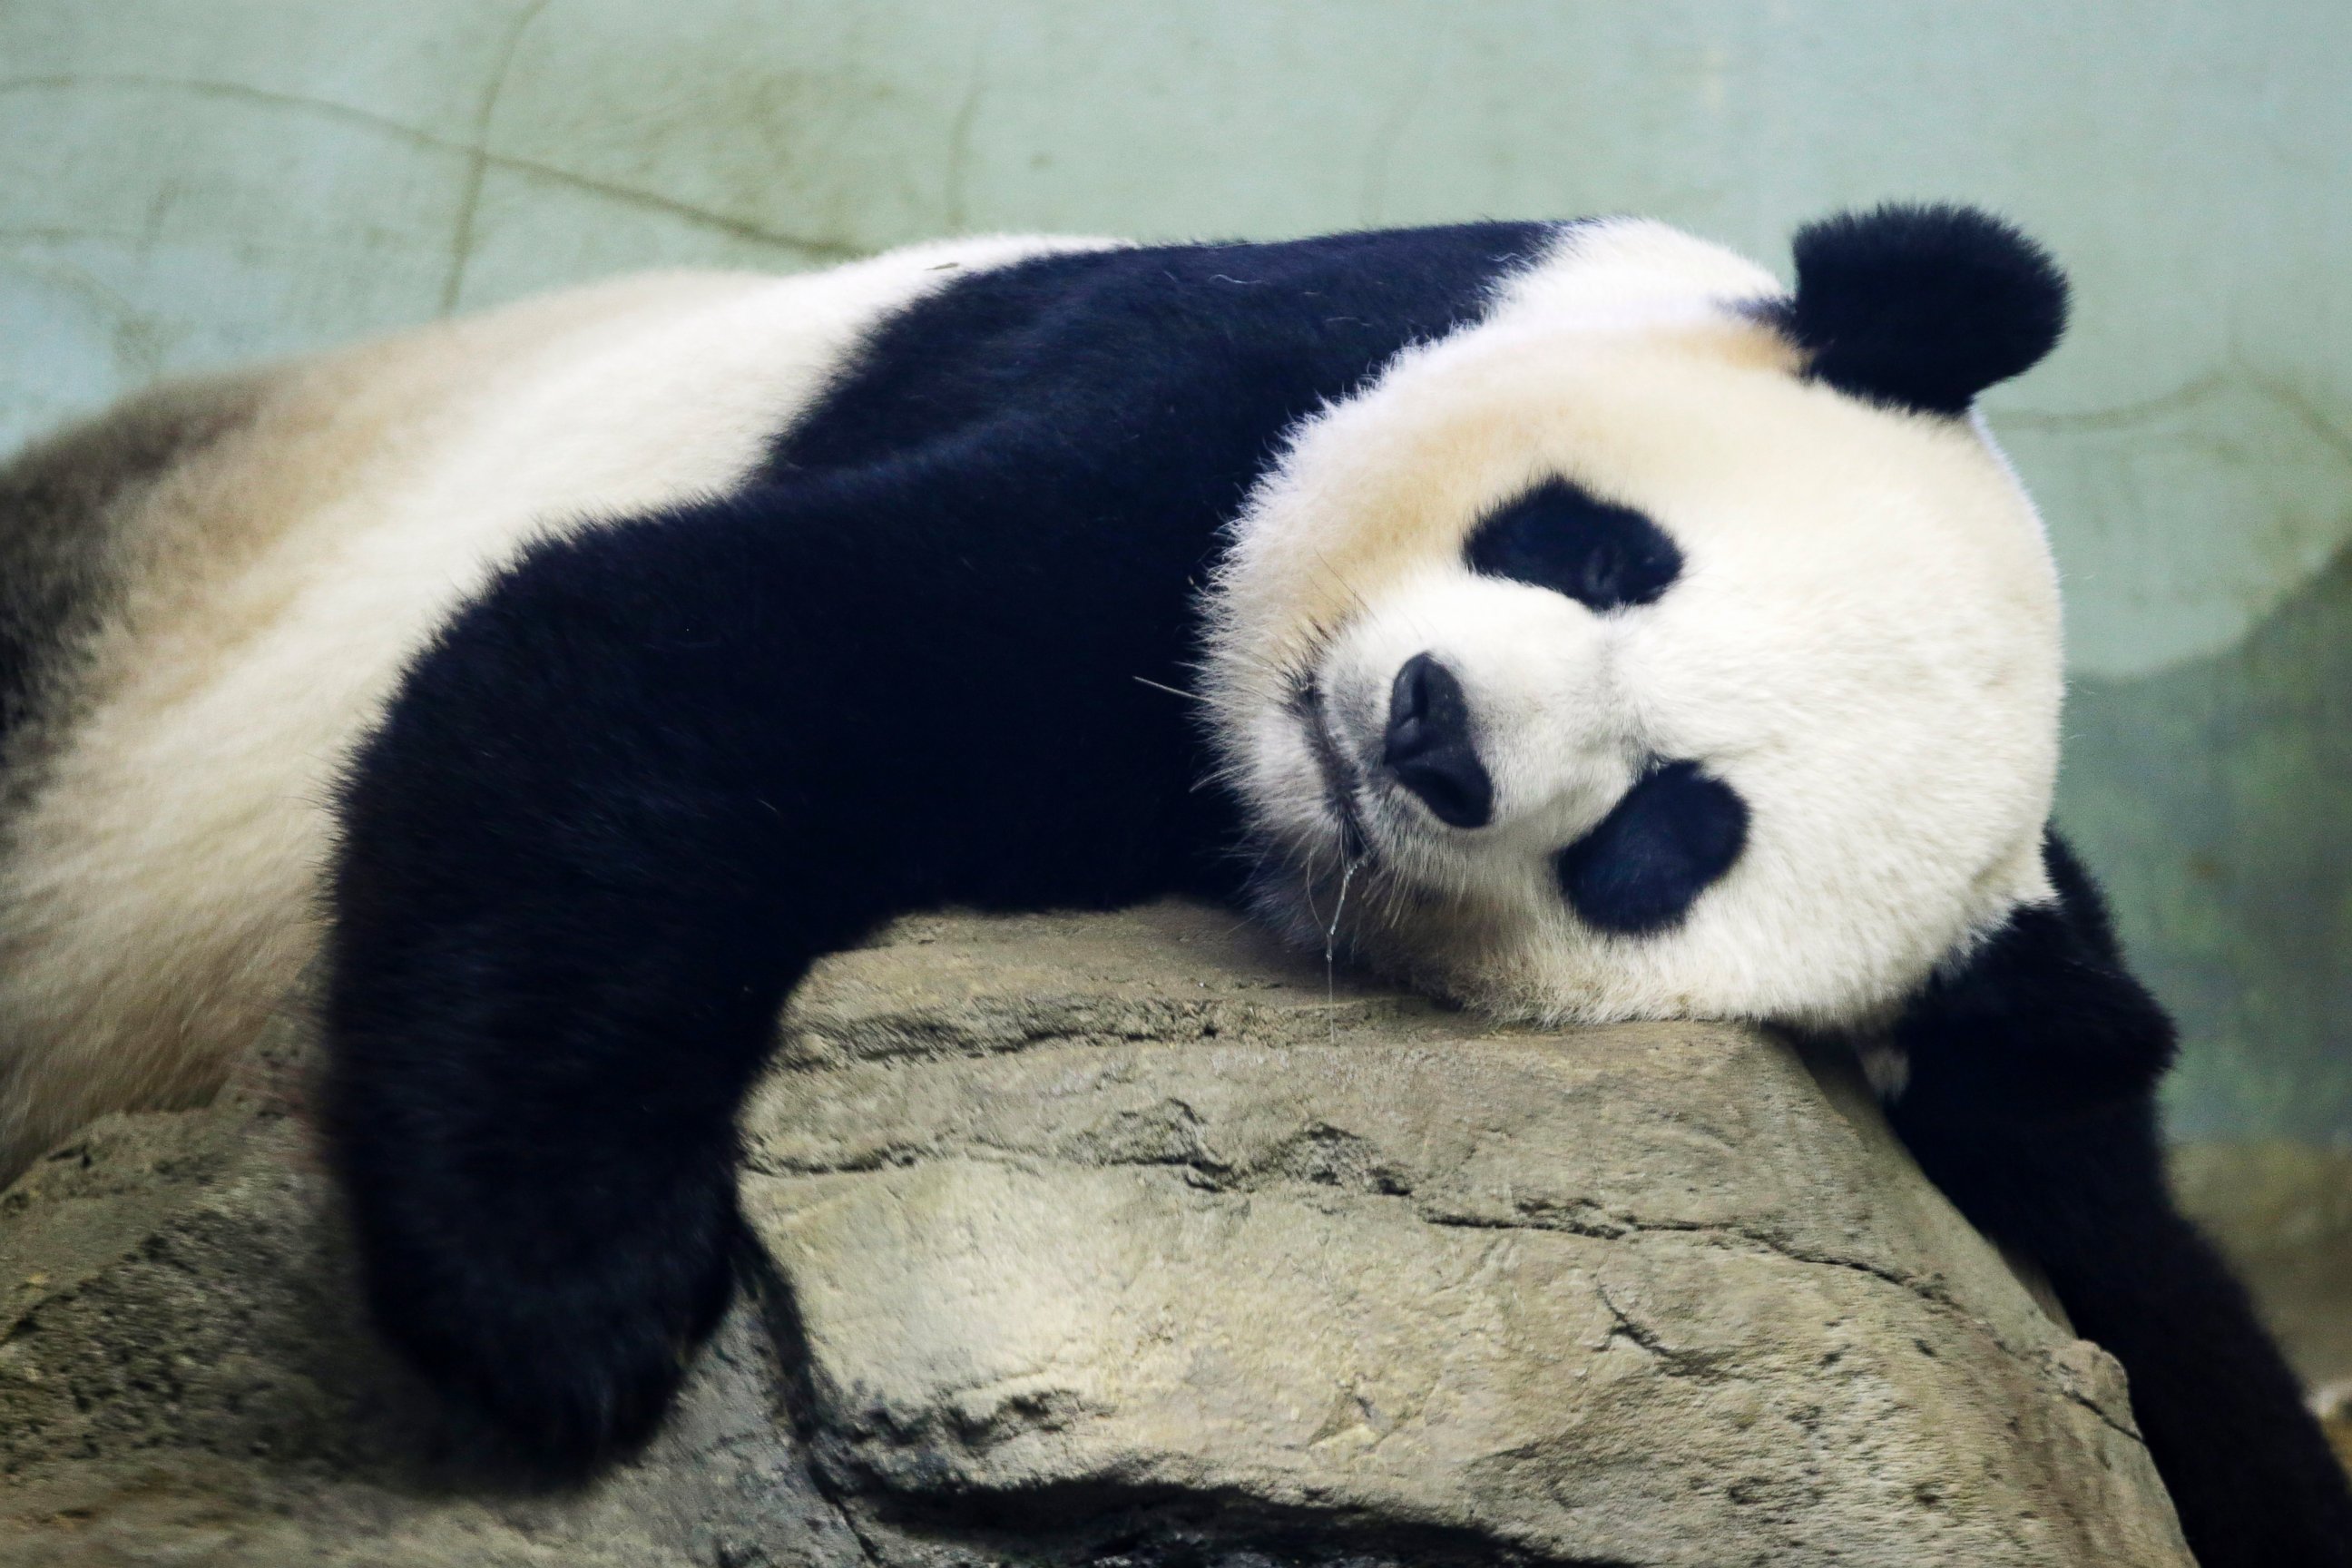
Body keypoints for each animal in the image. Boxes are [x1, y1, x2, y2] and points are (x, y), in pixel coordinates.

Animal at [0, 208, 2342, 1568]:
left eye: (1665, 835)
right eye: (1604, 549)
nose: (1428, 730)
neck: (1233, 777)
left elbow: (2124, 1232)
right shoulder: (1230, 391)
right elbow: (685, 639)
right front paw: (562, 1297)